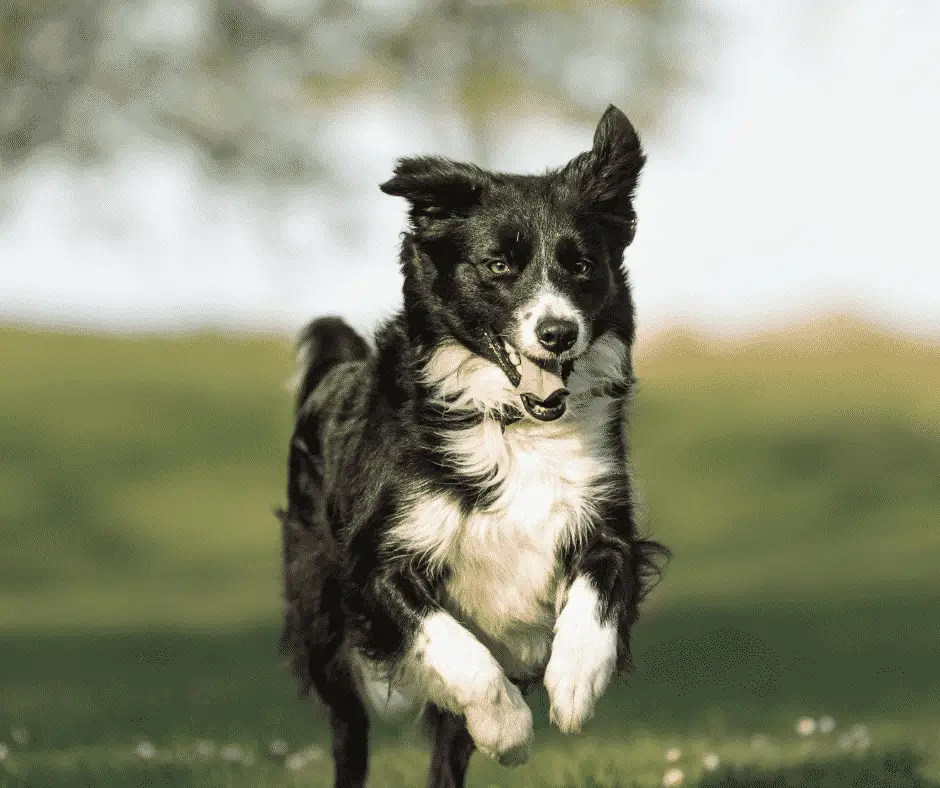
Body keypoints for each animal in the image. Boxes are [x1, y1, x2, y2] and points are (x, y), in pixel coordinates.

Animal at [278, 104, 668, 788]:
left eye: (582, 266)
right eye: (499, 265)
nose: (558, 332)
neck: (511, 422)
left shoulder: (604, 518)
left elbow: (599, 589)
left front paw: (574, 682)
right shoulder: (376, 563)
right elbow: (459, 653)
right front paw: (507, 730)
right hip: (321, 617)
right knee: (349, 732)